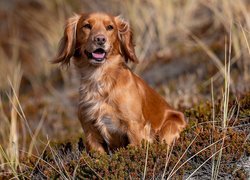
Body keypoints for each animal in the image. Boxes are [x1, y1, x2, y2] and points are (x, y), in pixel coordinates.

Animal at [52, 12, 186, 153]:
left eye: (110, 27)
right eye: (87, 26)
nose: (100, 39)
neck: (99, 78)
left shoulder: (134, 126)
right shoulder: (90, 131)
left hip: (170, 125)